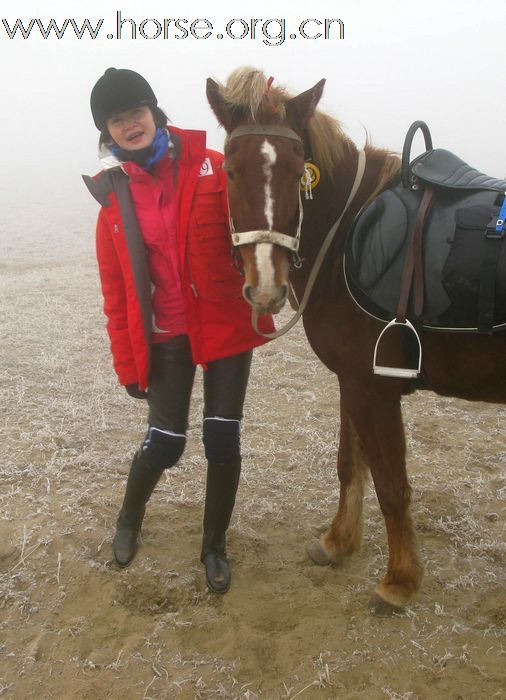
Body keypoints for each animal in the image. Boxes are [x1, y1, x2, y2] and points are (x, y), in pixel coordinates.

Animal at [207, 68, 506, 608]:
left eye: (295, 173)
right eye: (231, 172)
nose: (266, 289)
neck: (348, 228)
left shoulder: (374, 389)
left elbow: (391, 484)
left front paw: (400, 581)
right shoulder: (353, 381)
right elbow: (351, 464)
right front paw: (338, 542)